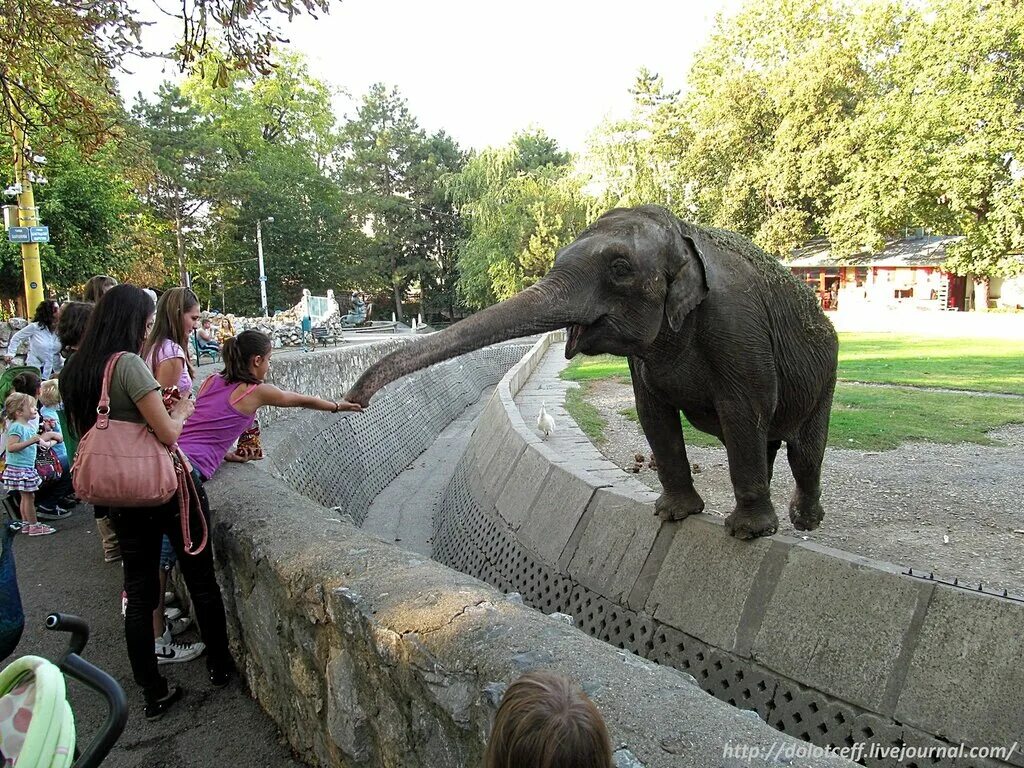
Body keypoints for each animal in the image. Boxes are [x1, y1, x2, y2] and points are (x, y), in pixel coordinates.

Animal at [348, 205, 835, 540]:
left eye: (620, 269)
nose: (355, 401)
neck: (684, 231)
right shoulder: (646, 361)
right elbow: (653, 415)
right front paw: (672, 513)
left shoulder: (738, 328)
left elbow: (741, 411)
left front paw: (748, 533)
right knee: (767, 442)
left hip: (826, 374)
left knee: (803, 451)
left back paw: (803, 522)